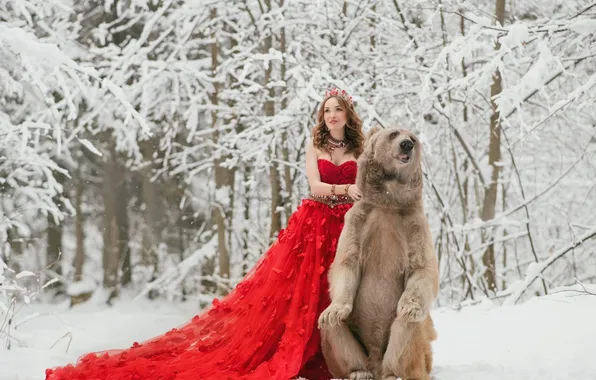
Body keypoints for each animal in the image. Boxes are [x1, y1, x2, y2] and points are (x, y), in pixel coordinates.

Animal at [318, 126, 440, 378]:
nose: (406, 145)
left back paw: (395, 372)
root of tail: (375, 364)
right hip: (352, 343)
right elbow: (346, 263)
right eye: (393, 133)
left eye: (413, 138)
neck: (389, 202)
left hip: (410, 348)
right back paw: (358, 370)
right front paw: (335, 311)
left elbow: (422, 268)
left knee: (406, 329)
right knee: (332, 328)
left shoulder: (413, 224)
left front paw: (409, 306)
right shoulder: (359, 221)